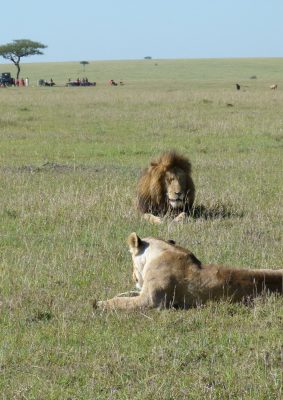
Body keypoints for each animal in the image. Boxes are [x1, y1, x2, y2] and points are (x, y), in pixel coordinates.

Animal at [95, 233, 283, 310]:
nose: (133, 277)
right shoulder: (143, 292)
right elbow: (124, 295)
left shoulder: (150, 300)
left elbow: (121, 302)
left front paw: (98, 304)